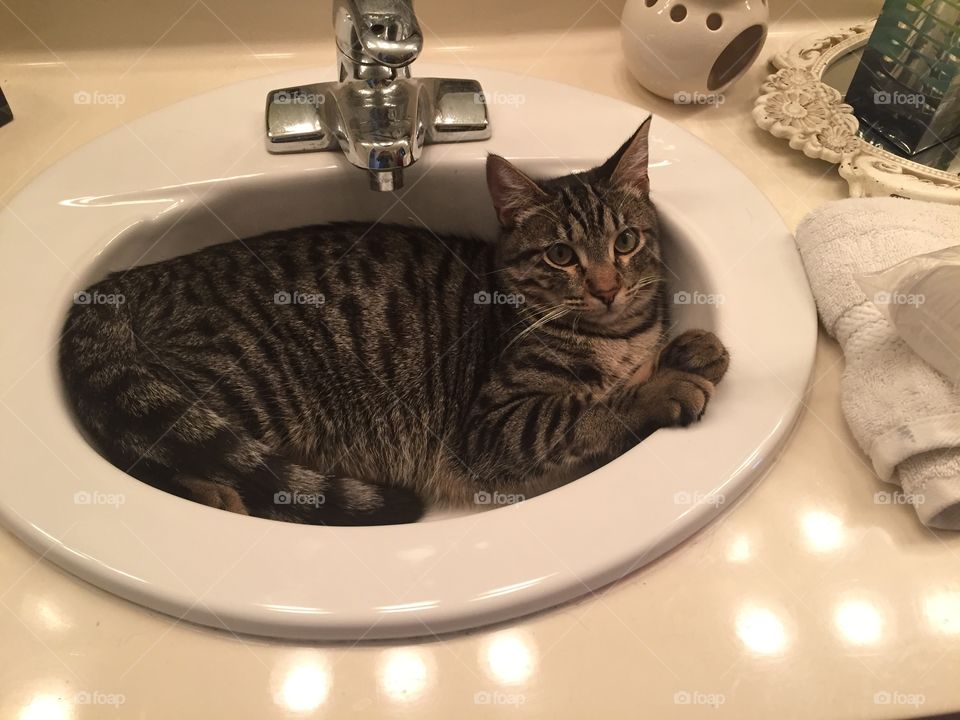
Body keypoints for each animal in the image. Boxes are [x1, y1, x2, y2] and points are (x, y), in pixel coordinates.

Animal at [60, 116, 732, 524]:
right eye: (561, 255)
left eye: (625, 242)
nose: (606, 287)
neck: (615, 334)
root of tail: (134, 275)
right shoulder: (495, 427)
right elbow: (582, 409)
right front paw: (661, 383)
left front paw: (687, 348)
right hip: (240, 390)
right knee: (154, 453)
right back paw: (218, 497)